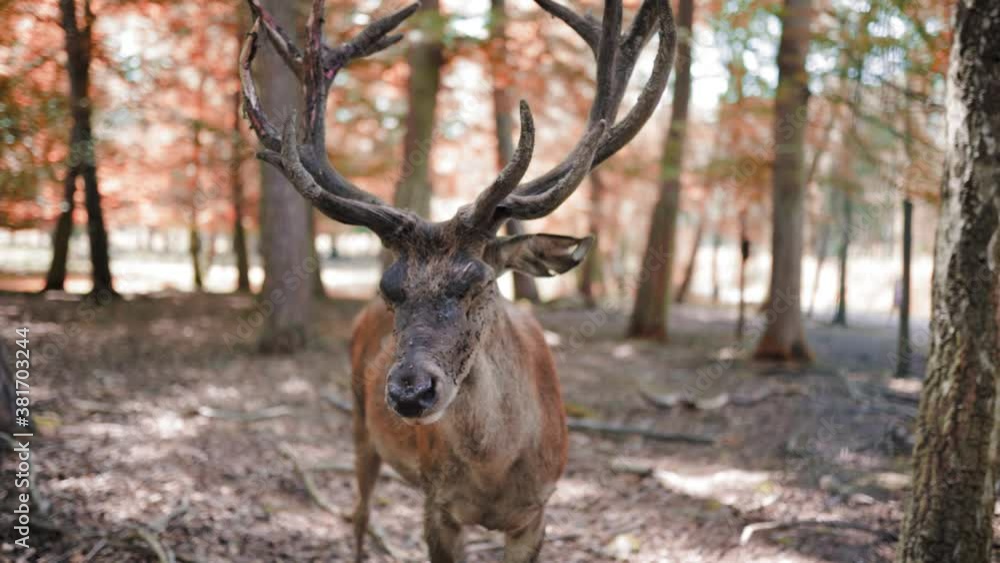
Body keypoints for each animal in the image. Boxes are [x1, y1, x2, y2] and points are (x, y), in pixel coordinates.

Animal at [239, 0, 675, 560]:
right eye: (389, 287)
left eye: (480, 280)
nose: (410, 392)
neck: (494, 472)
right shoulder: (438, 506)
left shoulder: (538, 512)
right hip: (359, 424)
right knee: (359, 512)